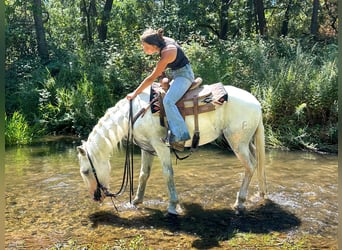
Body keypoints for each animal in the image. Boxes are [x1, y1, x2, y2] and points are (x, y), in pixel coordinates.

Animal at [77, 82, 268, 215]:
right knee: (257, 162)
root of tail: (256, 103)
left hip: (237, 143)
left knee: (250, 166)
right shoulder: (147, 148)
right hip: (247, 142)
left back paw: (240, 202)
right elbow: (143, 175)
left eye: (86, 171)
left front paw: (172, 206)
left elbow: (168, 173)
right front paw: (136, 201)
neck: (136, 113)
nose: (96, 197)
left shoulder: (160, 145)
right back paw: (260, 194)